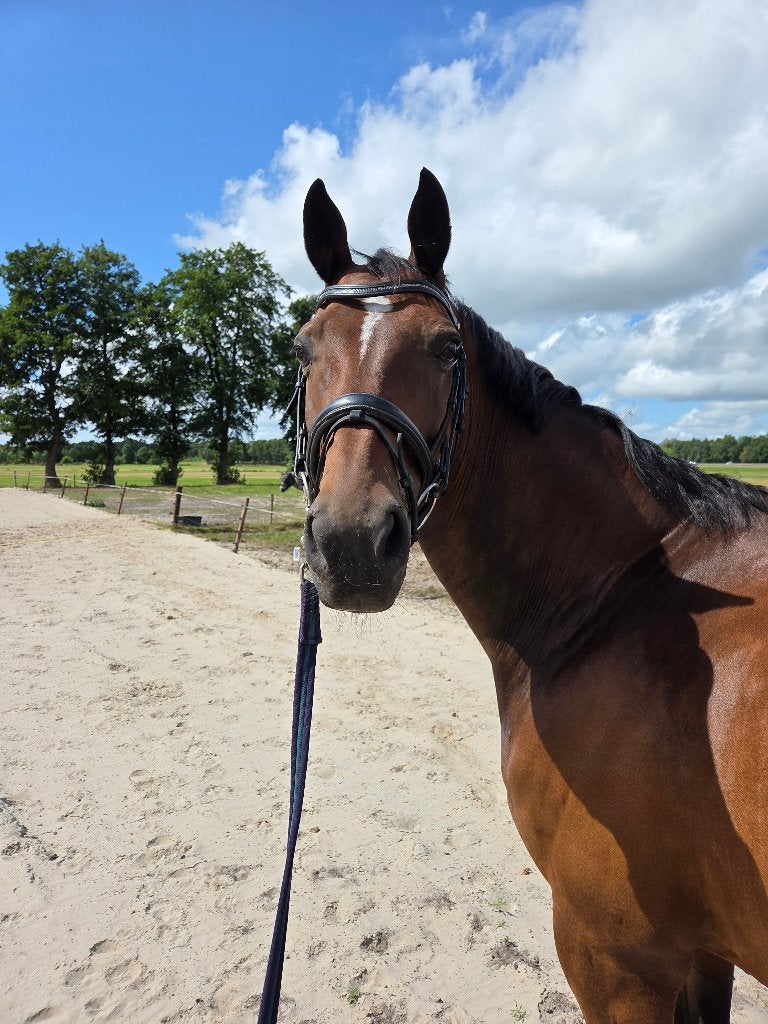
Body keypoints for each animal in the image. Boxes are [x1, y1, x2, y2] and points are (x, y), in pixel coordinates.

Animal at [293, 168, 768, 1023]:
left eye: (447, 349)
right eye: (303, 348)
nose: (349, 543)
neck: (619, 598)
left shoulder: (616, 958)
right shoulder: (703, 952)